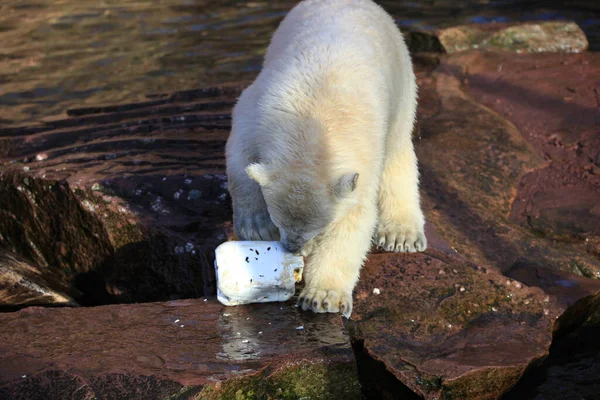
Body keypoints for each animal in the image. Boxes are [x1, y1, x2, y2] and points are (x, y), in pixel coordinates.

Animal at [225, 0, 426, 318]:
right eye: (278, 220)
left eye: (317, 230)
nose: (293, 248)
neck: (312, 119)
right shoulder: (258, 111)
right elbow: (239, 157)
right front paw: (256, 226)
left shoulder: (363, 154)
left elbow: (354, 219)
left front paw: (323, 297)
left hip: (402, 81)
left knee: (398, 150)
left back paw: (402, 235)